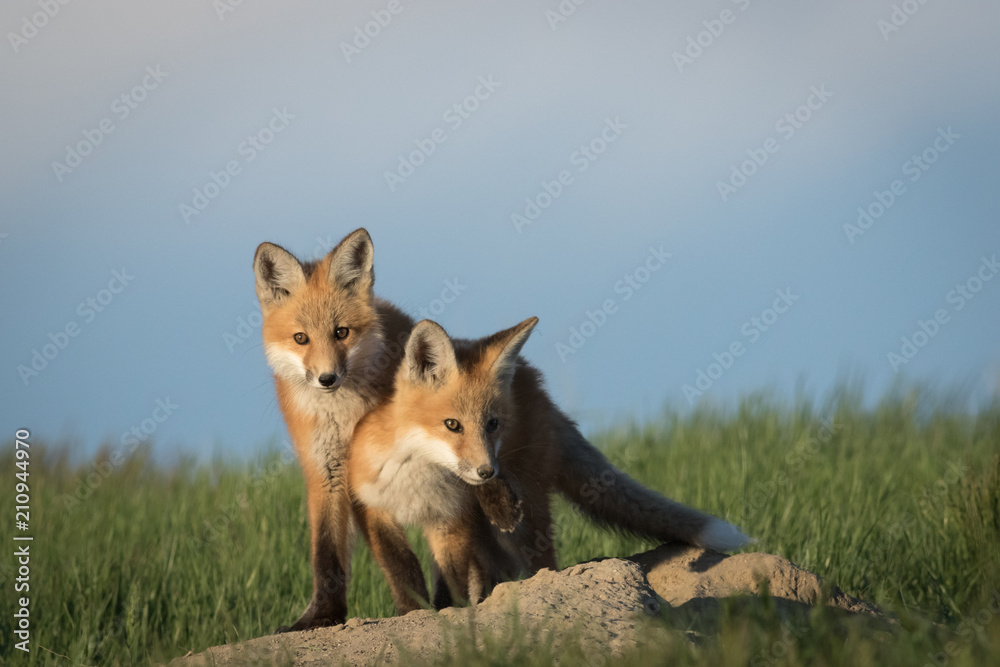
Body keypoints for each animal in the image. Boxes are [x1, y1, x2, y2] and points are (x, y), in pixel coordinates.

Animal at [254, 229, 519, 631]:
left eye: (341, 333)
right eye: (301, 338)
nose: (327, 378)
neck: (344, 416)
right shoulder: (330, 468)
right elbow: (329, 551)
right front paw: (324, 615)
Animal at [347, 316, 754, 614]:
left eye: (493, 424)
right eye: (452, 425)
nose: (487, 473)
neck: (419, 476)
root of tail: (536, 383)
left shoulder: (452, 518)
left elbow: (451, 580)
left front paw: (450, 615)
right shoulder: (376, 510)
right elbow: (401, 570)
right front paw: (412, 614)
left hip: (526, 520)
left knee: (537, 562)